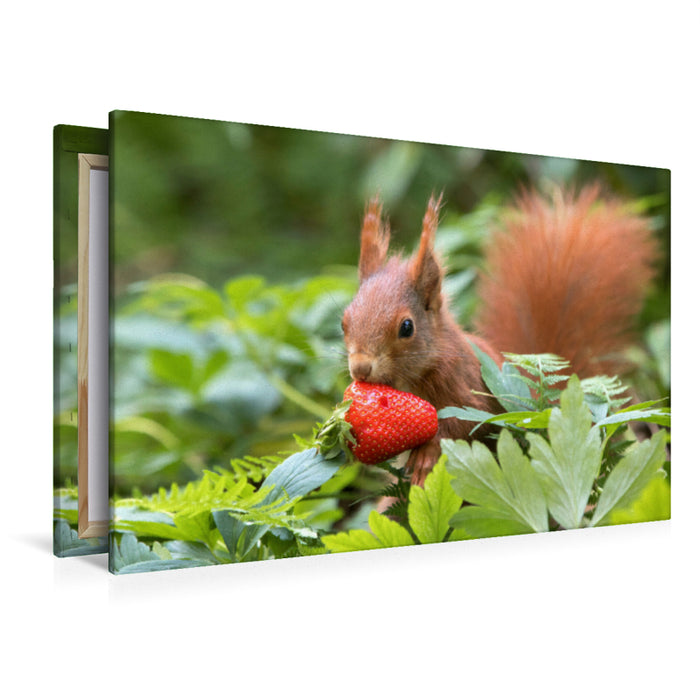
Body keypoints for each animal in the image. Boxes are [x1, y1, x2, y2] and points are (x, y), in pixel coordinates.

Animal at [341, 184, 658, 486]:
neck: (408, 381)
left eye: (406, 327)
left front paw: (426, 455)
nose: (360, 368)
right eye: (344, 321)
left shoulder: (464, 386)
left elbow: (461, 425)